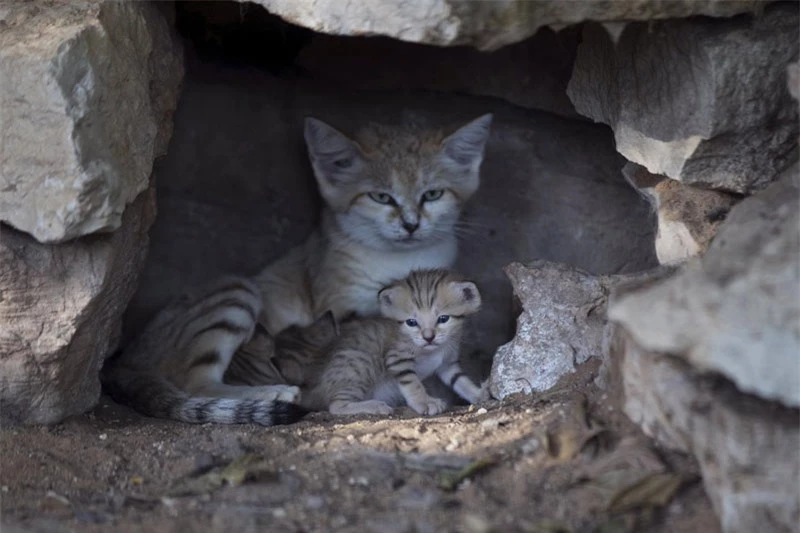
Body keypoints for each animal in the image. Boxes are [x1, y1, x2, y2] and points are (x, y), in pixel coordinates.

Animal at [304, 270, 484, 416]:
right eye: (411, 322)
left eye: (443, 319)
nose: (428, 337)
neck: (433, 350)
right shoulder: (397, 357)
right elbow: (413, 382)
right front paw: (424, 402)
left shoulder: (447, 364)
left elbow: (460, 380)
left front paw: (479, 394)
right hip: (360, 365)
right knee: (336, 405)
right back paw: (375, 406)